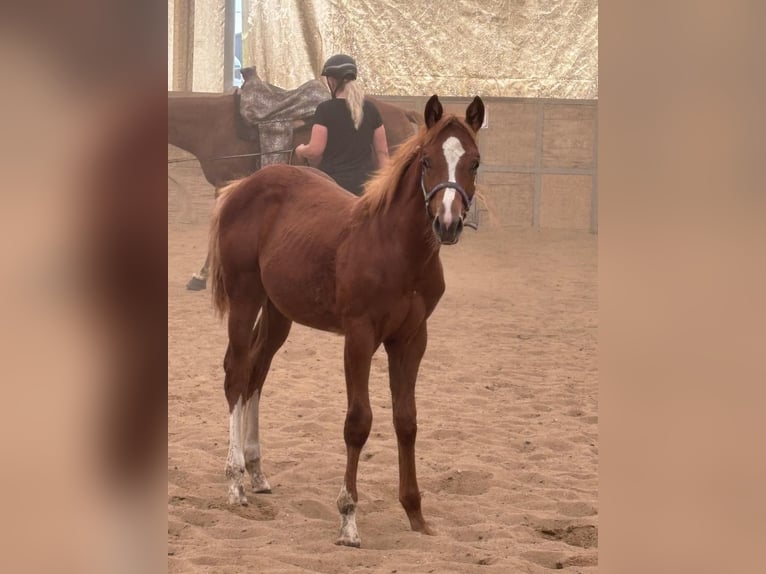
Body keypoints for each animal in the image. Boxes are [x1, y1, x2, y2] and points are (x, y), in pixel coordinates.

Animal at [207, 94, 485, 547]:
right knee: (236, 373)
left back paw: (257, 472)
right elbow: (359, 421)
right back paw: (235, 482)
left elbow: (406, 421)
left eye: (474, 162)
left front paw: (416, 515)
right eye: (427, 160)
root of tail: (241, 187)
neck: (397, 250)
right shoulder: (359, 336)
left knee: (256, 373)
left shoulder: (412, 339)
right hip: (245, 297)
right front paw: (348, 519)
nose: (447, 223)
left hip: (278, 311)